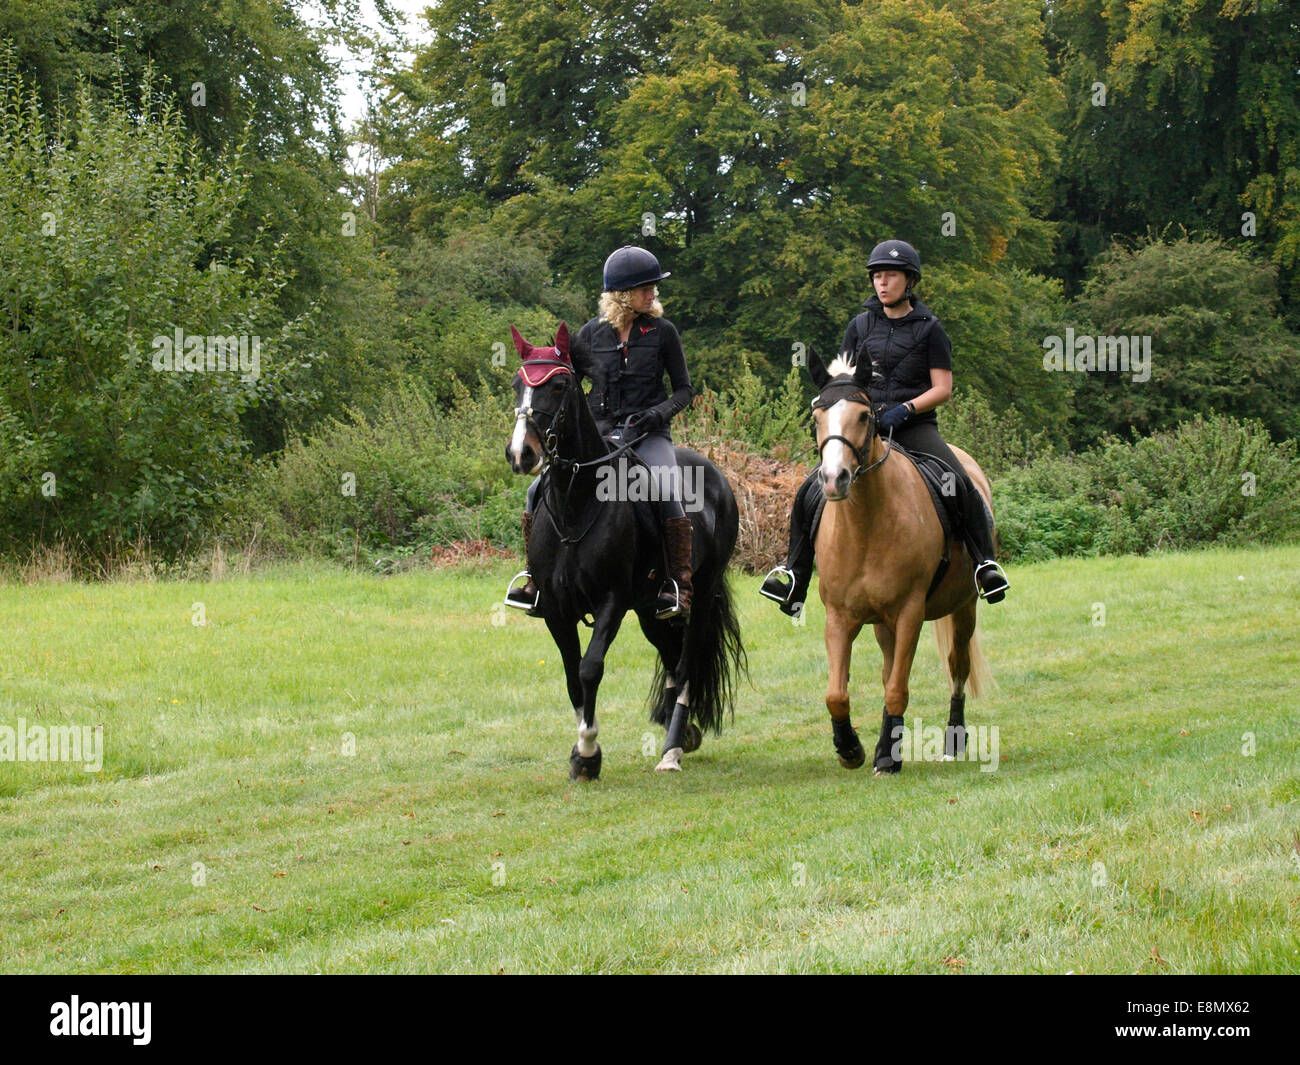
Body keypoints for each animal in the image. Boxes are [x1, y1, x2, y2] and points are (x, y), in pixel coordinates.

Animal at [504, 321, 748, 780]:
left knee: (686, 665)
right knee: (670, 657)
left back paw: (672, 748)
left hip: (699, 597)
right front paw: (582, 751)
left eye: (560, 385)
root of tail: (718, 478)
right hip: (652, 610)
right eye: (517, 385)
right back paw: (682, 731)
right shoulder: (557, 610)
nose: (520, 453)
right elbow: (571, 677)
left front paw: (587, 753)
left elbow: (590, 668)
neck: (577, 501)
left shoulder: (612, 601)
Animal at [811, 353, 993, 780]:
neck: (866, 524)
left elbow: (898, 688)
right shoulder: (839, 616)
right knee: (888, 669)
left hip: (964, 608)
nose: (834, 479)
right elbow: (836, 693)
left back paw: (952, 741)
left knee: (957, 667)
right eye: (816, 417)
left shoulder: (910, 613)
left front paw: (886, 760)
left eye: (864, 415)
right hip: (882, 623)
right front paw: (850, 749)